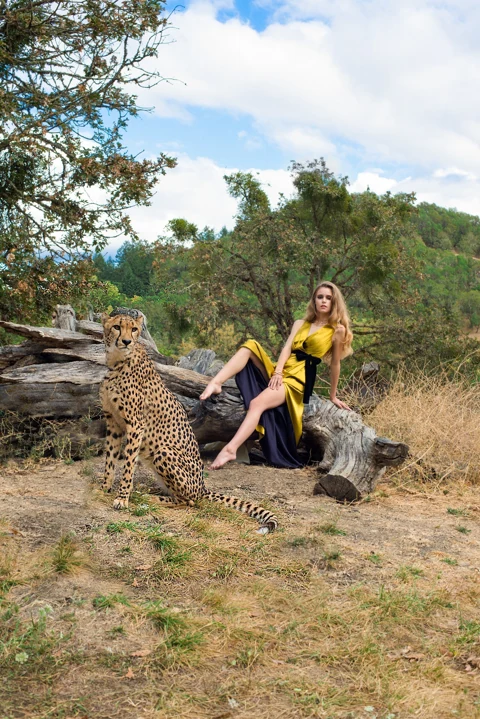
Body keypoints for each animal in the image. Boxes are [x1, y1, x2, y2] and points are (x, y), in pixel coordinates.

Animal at [99, 312, 278, 533]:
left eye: (134, 329)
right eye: (117, 327)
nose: (126, 341)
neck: (117, 362)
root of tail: (202, 487)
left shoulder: (135, 424)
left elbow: (128, 464)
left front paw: (122, 498)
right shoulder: (113, 422)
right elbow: (110, 458)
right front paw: (104, 488)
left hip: (164, 452)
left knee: (189, 501)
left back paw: (147, 498)